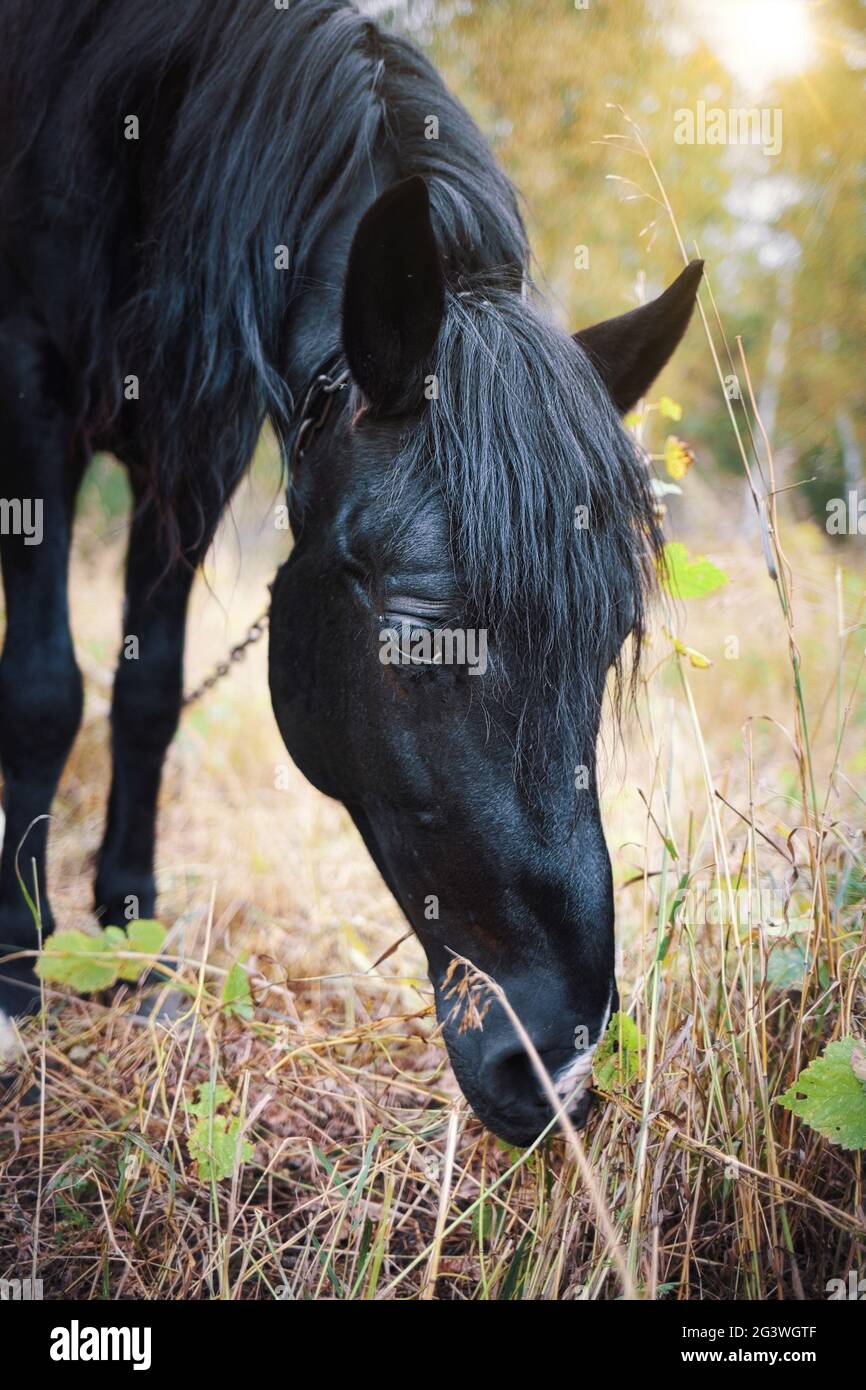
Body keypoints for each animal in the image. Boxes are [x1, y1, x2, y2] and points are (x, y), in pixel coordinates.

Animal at [0, 0, 701, 1144]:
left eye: (608, 645)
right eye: (420, 628)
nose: (557, 1068)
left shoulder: (191, 446)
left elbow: (147, 695)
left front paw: (132, 942)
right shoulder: (30, 390)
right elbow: (43, 692)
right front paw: (19, 969)